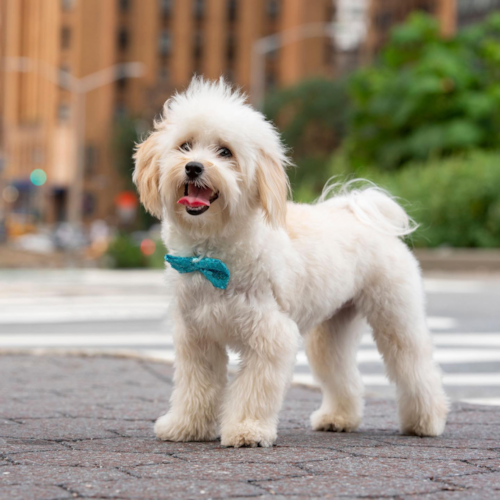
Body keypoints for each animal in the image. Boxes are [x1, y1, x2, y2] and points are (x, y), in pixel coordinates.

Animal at [134, 79, 450, 450]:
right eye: (185, 145)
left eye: (225, 152)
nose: (194, 166)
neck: (211, 257)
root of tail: (361, 212)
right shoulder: (197, 339)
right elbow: (196, 387)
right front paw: (187, 426)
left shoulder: (270, 337)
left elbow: (253, 390)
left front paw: (247, 429)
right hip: (330, 332)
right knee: (342, 374)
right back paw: (338, 418)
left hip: (395, 318)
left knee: (415, 367)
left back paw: (426, 421)